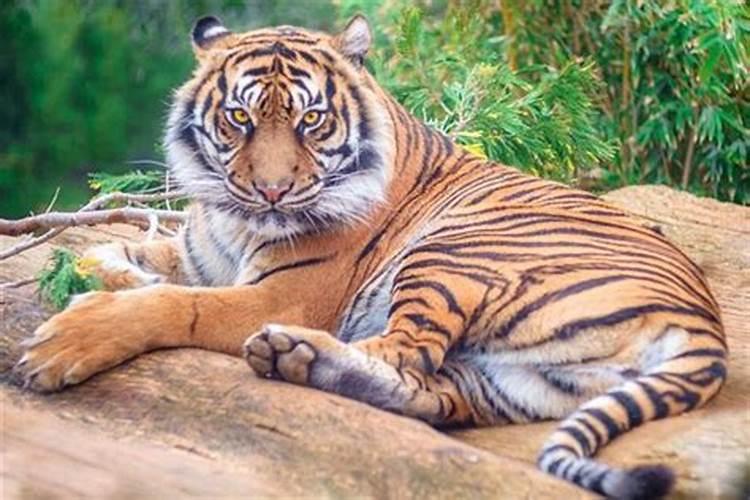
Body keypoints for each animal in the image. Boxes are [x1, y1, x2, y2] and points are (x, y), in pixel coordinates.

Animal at [16, 15, 727, 499]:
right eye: (240, 118)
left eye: (310, 121)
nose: (271, 191)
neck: (235, 219)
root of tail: (707, 326)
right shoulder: (199, 254)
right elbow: (126, 251)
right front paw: (101, 267)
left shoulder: (282, 294)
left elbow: (174, 304)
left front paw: (65, 340)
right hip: (517, 382)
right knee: (428, 393)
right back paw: (299, 360)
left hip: (453, 253)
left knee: (407, 348)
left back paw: (291, 349)